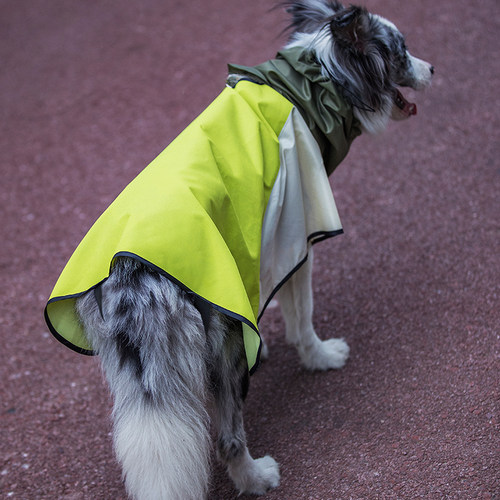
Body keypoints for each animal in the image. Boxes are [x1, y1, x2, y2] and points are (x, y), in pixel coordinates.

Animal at [45, 1, 432, 498]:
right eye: (402, 51)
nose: (433, 68)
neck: (314, 81)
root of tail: (130, 275)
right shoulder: (297, 236)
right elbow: (302, 318)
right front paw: (320, 357)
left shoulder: (256, 243)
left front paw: (266, 337)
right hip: (225, 348)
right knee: (227, 437)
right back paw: (256, 476)